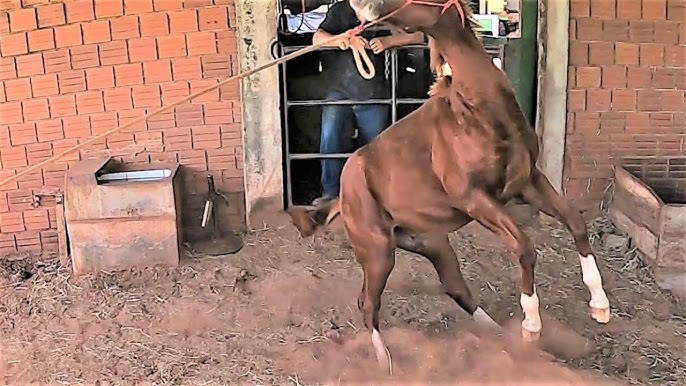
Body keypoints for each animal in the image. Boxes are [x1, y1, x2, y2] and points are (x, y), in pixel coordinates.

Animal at [288, 0, 612, 374]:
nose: (360, 6)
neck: (478, 111)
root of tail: (343, 197)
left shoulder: (527, 181)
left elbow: (574, 221)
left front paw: (600, 305)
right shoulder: (475, 199)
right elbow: (524, 247)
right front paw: (531, 325)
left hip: (433, 244)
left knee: (455, 288)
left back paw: (497, 335)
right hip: (378, 251)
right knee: (368, 303)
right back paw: (387, 363)